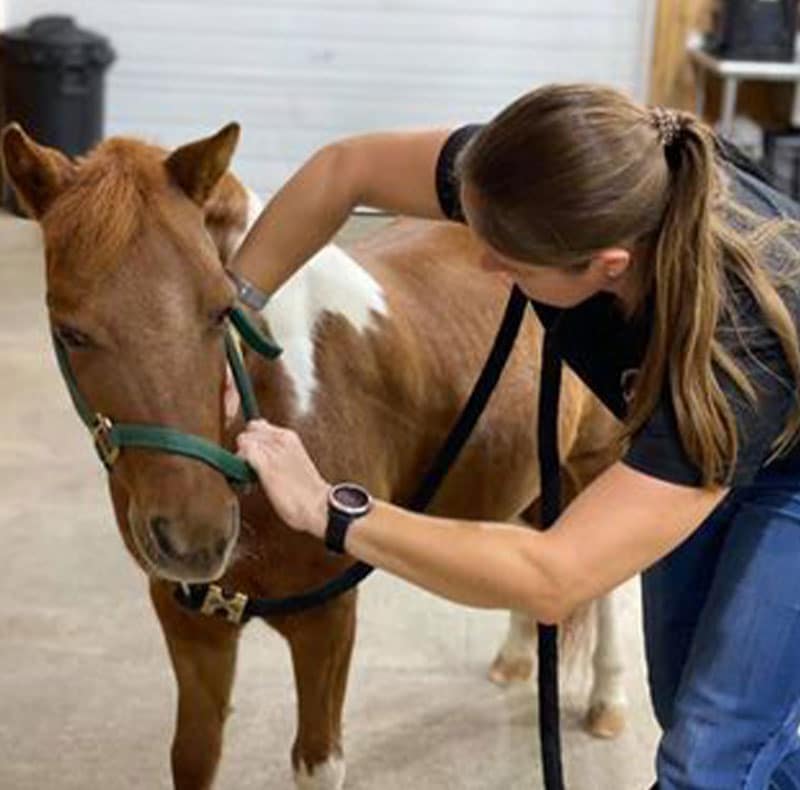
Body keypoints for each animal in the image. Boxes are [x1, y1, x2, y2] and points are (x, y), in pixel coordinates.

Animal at [2, 121, 628, 790]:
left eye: (220, 310)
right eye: (68, 331)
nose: (196, 539)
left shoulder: (326, 623)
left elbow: (318, 762)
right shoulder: (190, 620)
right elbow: (193, 756)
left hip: (599, 460)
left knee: (608, 583)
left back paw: (608, 701)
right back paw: (514, 658)